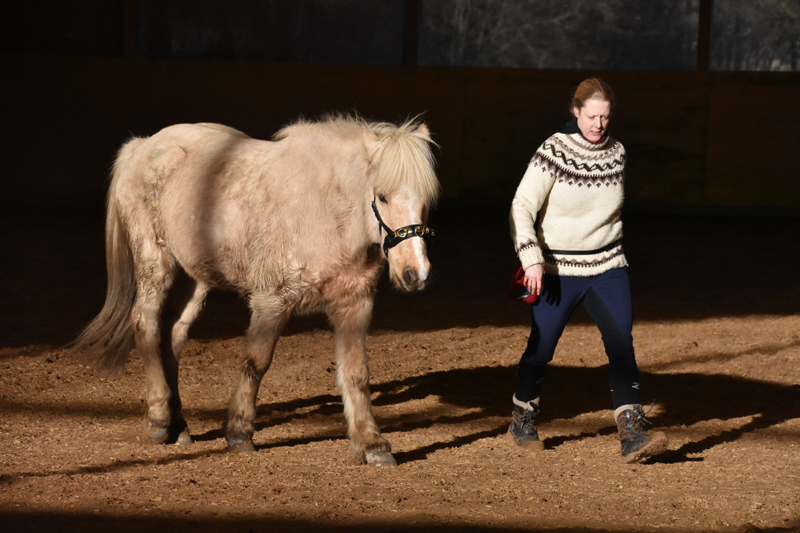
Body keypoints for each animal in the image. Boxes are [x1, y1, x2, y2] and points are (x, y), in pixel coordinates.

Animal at [72, 115, 440, 466]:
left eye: (425, 200)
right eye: (382, 196)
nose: (415, 273)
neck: (323, 209)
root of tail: (142, 145)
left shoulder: (354, 304)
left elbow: (356, 374)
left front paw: (372, 443)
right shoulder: (271, 301)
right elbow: (256, 362)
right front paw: (238, 432)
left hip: (195, 279)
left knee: (172, 337)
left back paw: (179, 425)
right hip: (155, 262)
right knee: (145, 325)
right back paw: (160, 419)